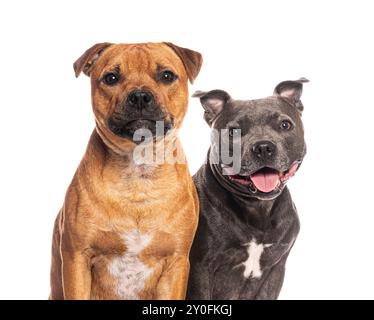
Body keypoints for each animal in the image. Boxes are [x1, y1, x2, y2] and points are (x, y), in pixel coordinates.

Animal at [49, 42, 203, 300]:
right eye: (111, 77)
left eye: (167, 75)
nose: (140, 96)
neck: (138, 173)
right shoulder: (76, 258)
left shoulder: (175, 264)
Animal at [186, 79, 306, 298]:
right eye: (233, 131)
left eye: (285, 125)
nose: (264, 147)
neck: (257, 208)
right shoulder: (199, 268)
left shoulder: (276, 268)